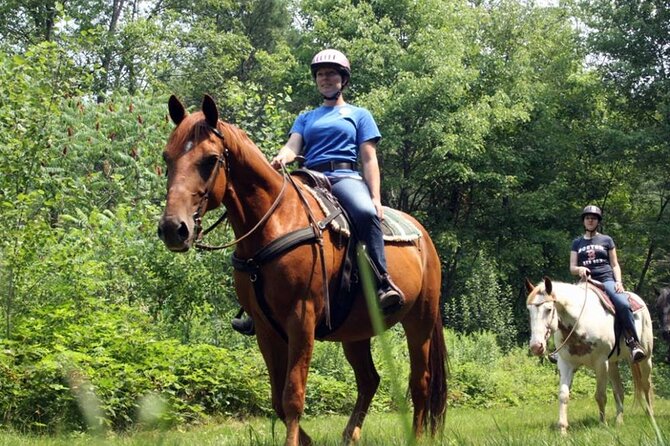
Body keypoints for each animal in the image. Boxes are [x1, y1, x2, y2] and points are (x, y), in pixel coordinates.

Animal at [157, 95, 447, 446]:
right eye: (167, 157)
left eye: (210, 160)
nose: (173, 228)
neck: (274, 222)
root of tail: (425, 239)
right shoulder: (265, 328)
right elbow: (277, 398)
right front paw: (306, 441)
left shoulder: (301, 319)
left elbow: (293, 395)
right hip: (356, 330)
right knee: (369, 380)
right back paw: (350, 435)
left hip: (420, 319)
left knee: (420, 381)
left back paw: (414, 436)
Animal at [525, 277, 653, 434]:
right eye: (529, 311)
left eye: (548, 310)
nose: (536, 347)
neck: (579, 323)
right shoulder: (566, 364)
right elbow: (563, 395)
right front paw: (562, 429)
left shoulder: (601, 363)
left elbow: (600, 395)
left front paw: (603, 424)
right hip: (612, 364)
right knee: (619, 391)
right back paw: (619, 421)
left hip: (645, 358)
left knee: (646, 385)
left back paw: (650, 416)